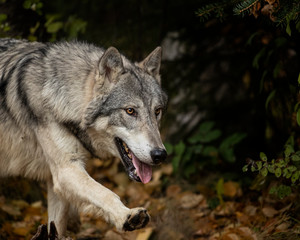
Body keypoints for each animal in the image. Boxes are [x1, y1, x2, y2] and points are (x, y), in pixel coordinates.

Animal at [0, 38, 168, 237]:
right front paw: (126, 215)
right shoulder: (66, 170)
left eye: (157, 111)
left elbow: (56, 225)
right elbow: (104, 192)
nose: (160, 155)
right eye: (130, 111)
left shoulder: (56, 181)